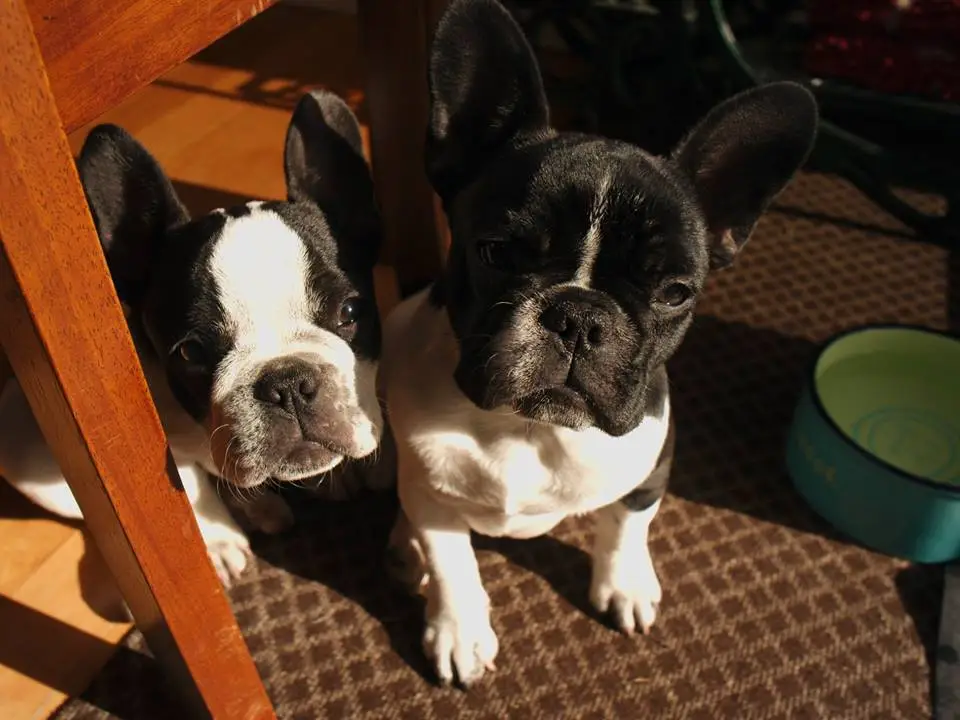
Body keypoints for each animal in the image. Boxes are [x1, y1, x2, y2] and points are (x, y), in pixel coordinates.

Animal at [4, 88, 386, 584]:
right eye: (190, 352)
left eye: (351, 311)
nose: (286, 383)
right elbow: (190, 489)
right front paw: (219, 541)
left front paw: (340, 475)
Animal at [382, 0, 816, 688]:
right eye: (495, 252)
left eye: (674, 292)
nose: (580, 316)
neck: (527, 430)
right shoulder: (433, 500)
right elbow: (454, 564)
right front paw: (459, 631)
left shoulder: (651, 467)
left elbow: (626, 526)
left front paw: (626, 586)